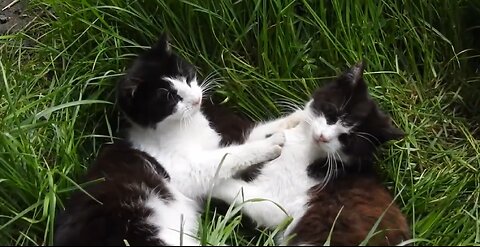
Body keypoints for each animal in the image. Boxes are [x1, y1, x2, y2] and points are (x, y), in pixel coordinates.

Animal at [54, 35, 292, 246]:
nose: (197, 99)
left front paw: (295, 121)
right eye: (169, 97)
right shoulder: (185, 170)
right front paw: (270, 146)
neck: (185, 127)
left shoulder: (209, 154)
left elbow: (247, 143)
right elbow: (229, 156)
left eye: (186, 76)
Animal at [210, 63, 408, 245]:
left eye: (347, 139)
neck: (304, 143)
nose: (323, 137)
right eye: (331, 115)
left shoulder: (277, 206)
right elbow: (249, 143)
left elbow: (239, 191)